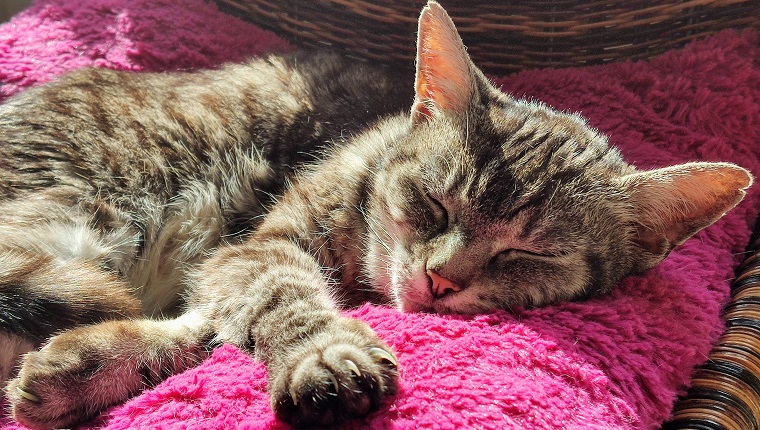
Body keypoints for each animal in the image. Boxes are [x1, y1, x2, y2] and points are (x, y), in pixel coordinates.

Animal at [0, 1, 752, 428]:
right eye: (435, 201)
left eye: (528, 252)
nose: (441, 278)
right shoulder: (259, 246)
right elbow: (277, 296)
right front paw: (322, 353)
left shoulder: (230, 263)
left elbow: (208, 325)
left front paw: (87, 365)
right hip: (91, 215)